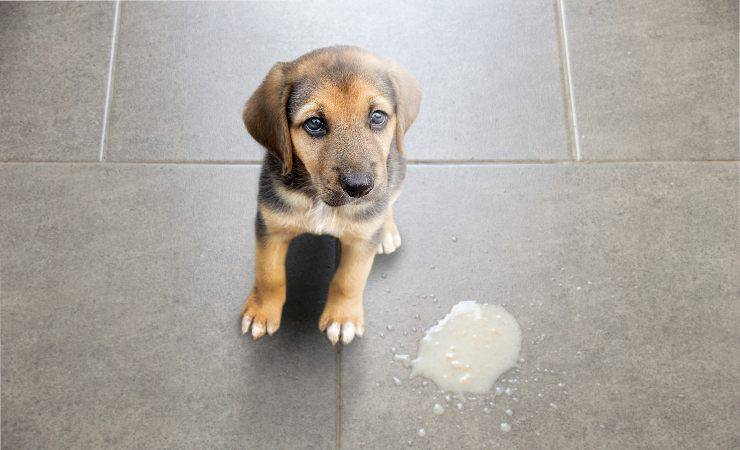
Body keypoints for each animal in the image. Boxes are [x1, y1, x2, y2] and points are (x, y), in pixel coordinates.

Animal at [240, 44, 420, 344]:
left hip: (396, 173)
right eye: (314, 123)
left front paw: (342, 318)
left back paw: (387, 231)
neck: (319, 200)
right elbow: (269, 275)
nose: (360, 187)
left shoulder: (361, 242)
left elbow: (349, 280)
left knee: (388, 201)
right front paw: (262, 312)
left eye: (377, 117)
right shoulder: (270, 226)